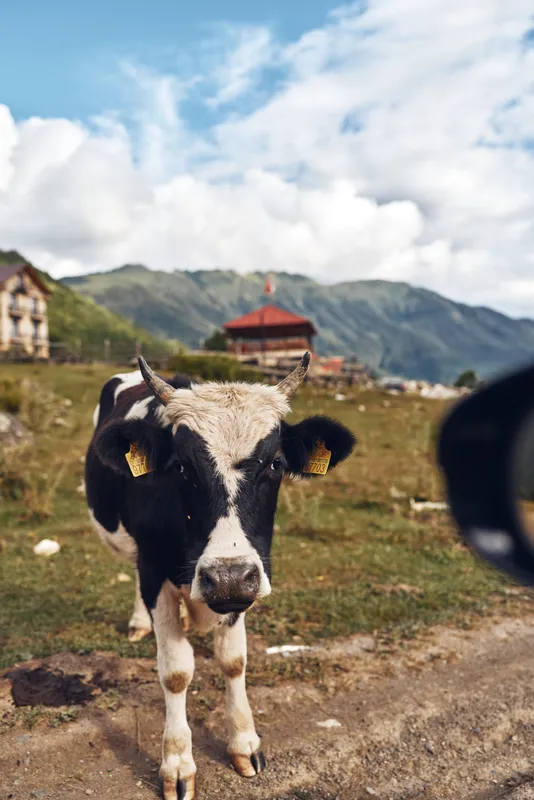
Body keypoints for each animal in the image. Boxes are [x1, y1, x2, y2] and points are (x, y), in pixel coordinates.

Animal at [86, 353, 355, 800]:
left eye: (276, 464)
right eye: (180, 466)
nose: (225, 577)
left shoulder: (243, 584)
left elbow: (233, 661)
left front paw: (245, 743)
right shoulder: (156, 571)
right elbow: (176, 671)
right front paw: (177, 763)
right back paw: (139, 622)